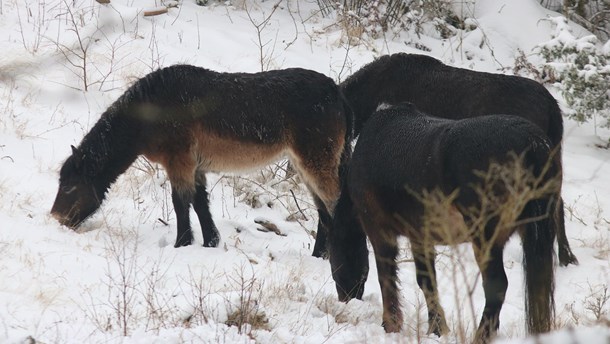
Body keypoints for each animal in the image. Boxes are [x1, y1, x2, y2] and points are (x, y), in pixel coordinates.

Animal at [50, 63, 354, 255]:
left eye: (70, 187)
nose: (56, 219)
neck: (151, 112)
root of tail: (335, 91)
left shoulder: (179, 161)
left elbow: (180, 203)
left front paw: (182, 244)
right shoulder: (194, 166)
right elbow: (199, 203)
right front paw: (210, 243)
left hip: (316, 163)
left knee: (334, 205)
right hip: (308, 166)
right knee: (323, 212)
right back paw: (319, 256)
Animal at [332, 103, 556, 344]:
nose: (345, 298)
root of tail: (532, 143)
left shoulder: (379, 229)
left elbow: (387, 277)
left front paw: (391, 325)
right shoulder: (420, 235)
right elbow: (427, 281)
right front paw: (437, 328)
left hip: (485, 236)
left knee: (497, 285)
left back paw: (480, 336)